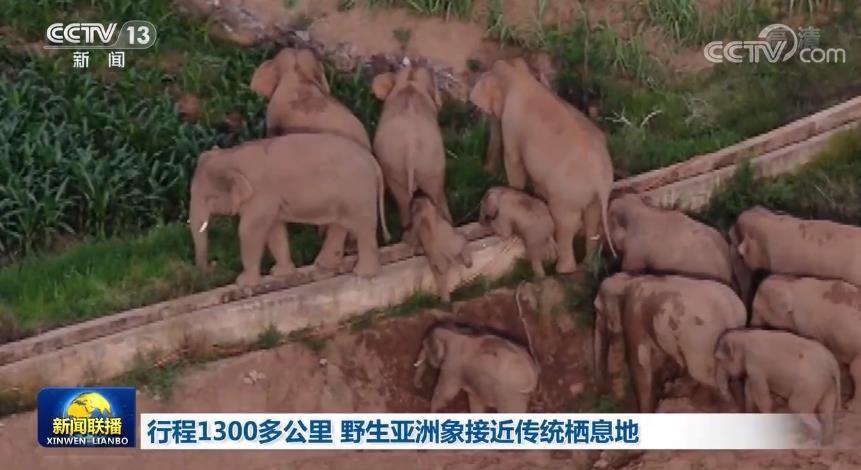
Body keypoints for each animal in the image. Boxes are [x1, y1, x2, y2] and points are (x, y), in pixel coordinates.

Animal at [188, 133, 390, 286]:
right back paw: (324, 266)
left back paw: (363, 275)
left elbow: (248, 230)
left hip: (358, 194)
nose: (213, 264)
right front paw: (279, 274)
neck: (231, 154)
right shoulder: (270, 200)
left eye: (208, 198)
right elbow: (275, 229)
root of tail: (374, 163)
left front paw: (243, 283)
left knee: (363, 229)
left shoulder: (262, 195)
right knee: (340, 225)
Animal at [469, 57, 616, 274]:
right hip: (591, 197)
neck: (520, 76)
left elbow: (513, 159)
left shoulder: (511, 122)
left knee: (565, 223)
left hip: (566, 195)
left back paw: (563, 270)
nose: (485, 169)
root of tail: (601, 182)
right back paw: (588, 265)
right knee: (592, 218)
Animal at [593, 273, 747, 413]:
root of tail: (733, 313)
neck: (629, 280)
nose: (604, 395)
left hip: (703, 344)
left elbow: (640, 363)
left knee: (711, 382)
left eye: (598, 311)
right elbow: (656, 362)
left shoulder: (634, 316)